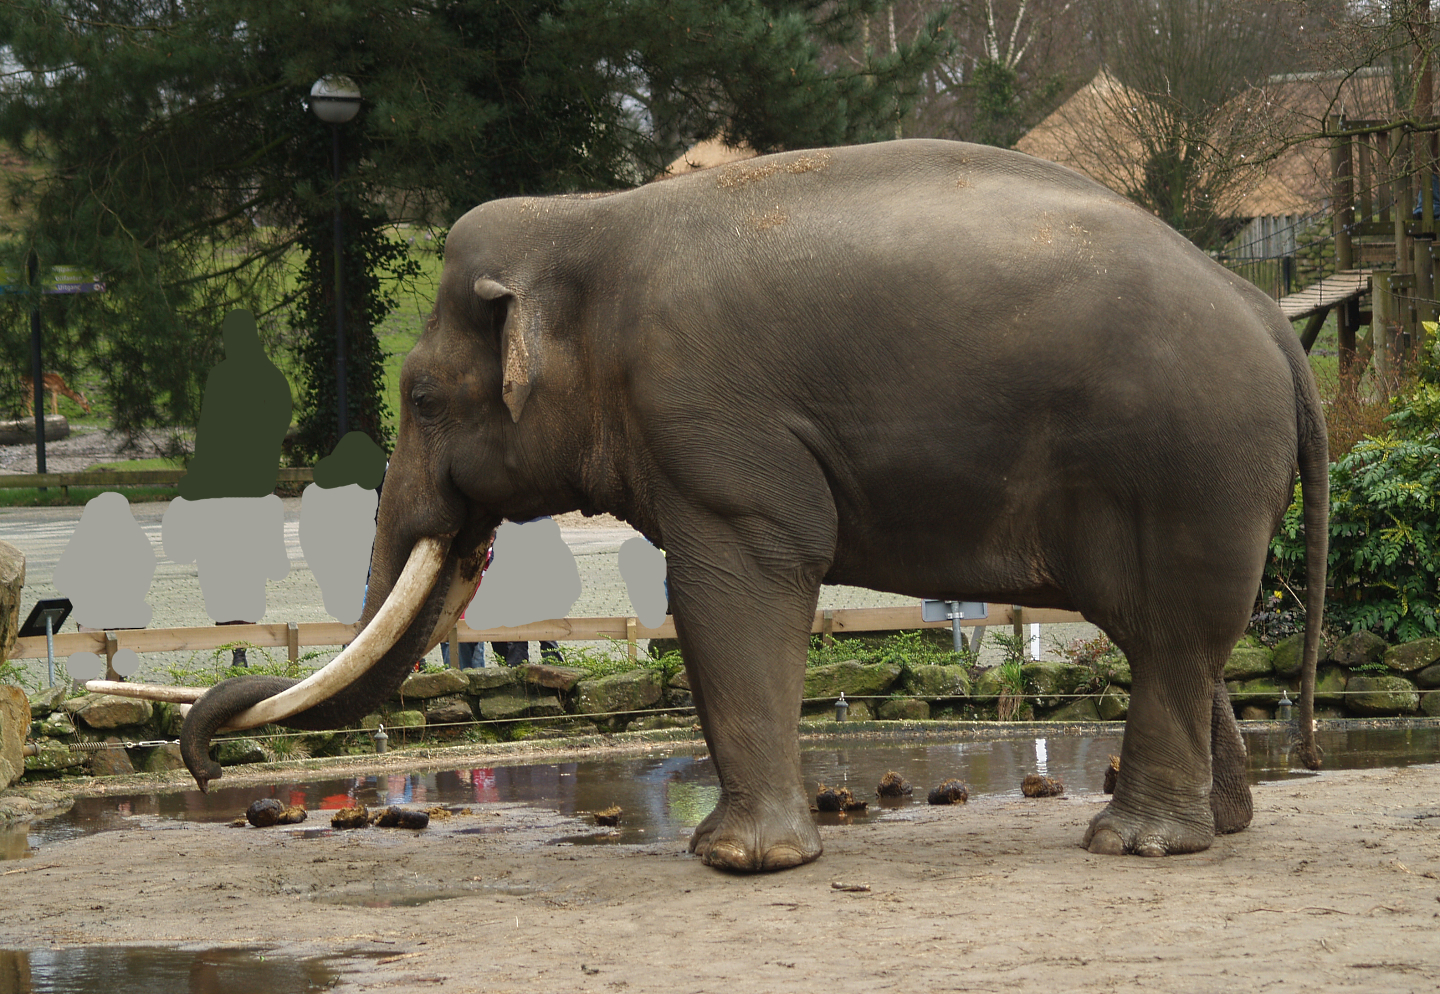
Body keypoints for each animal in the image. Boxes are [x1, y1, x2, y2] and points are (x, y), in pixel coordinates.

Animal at [172, 138, 1328, 871]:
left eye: (418, 399)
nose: (201, 760)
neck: (587, 223)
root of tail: (1270, 316)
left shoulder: (710, 423)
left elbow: (734, 582)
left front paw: (737, 859)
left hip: (1190, 464)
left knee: (1171, 629)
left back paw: (1137, 845)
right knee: (1167, 634)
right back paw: (1219, 827)